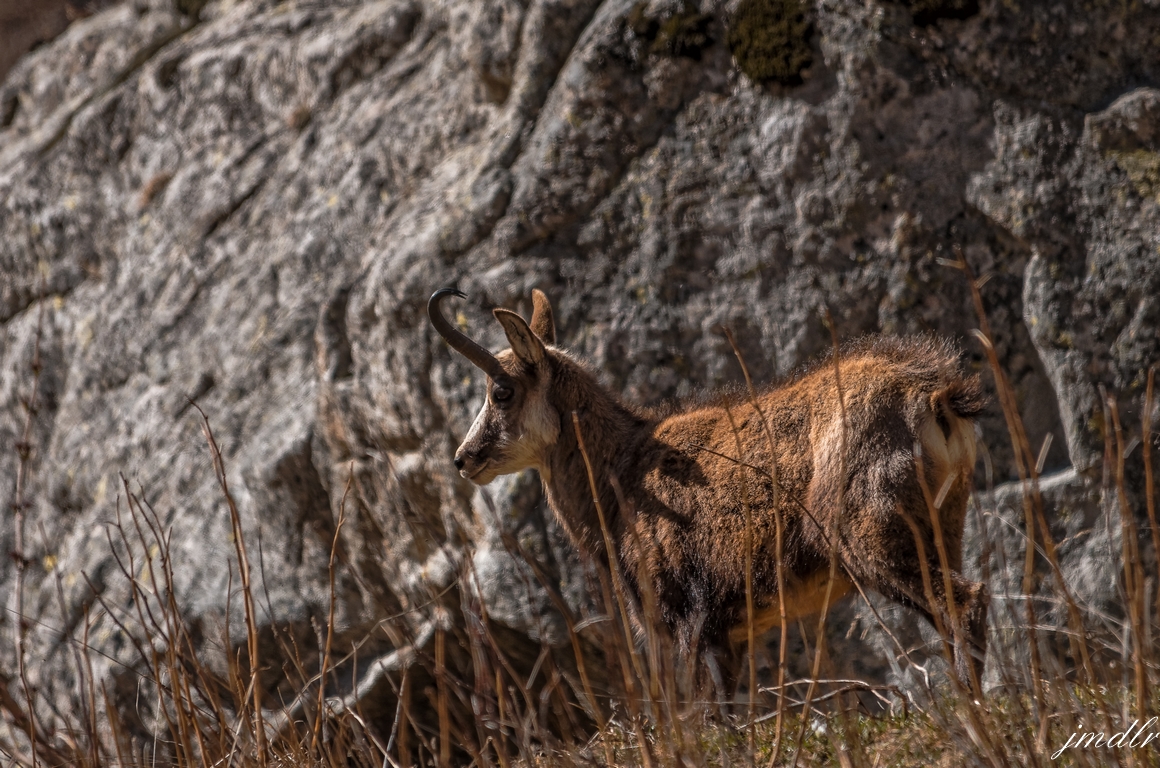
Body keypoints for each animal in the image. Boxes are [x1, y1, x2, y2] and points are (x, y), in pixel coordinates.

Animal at [428, 287, 990, 700]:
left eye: (501, 391)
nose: (463, 459)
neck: (619, 478)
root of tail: (934, 396)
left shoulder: (693, 621)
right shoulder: (728, 632)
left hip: (873, 533)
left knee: (963, 604)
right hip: (945, 522)